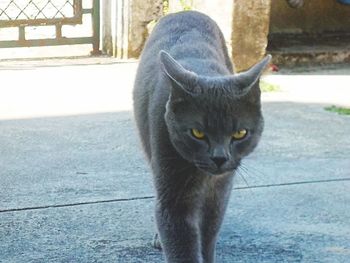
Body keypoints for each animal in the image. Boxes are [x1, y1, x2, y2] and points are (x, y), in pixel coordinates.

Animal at [133, 10, 270, 263]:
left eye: (240, 133)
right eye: (197, 133)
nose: (219, 158)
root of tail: (185, 11)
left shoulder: (220, 194)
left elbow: (208, 234)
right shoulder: (172, 191)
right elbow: (180, 240)